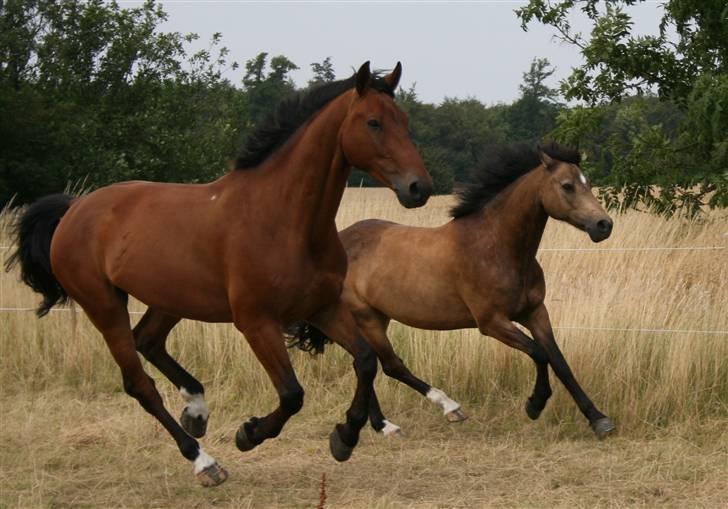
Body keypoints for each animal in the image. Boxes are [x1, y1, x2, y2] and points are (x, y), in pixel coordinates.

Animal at [5, 61, 432, 486]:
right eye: (374, 122)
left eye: (405, 121)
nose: (419, 188)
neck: (284, 219)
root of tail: (74, 209)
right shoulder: (256, 321)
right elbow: (292, 394)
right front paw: (250, 433)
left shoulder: (321, 307)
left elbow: (366, 361)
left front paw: (345, 436)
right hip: (103, 304)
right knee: (139, 383)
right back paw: (203, 460)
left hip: (170, 298)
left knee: (148, 340)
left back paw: (196, 409)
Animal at [290, 142, 616, 436]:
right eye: (567, 186)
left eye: (588, 184)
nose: (604, 225)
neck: (497, 247)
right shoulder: (492, 322)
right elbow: (539, 353)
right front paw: (535, 404)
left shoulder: (535, 312)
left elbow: (559, 360)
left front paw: (599, 420)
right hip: (363, 317)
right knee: (390, 365)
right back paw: (442, 410)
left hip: (374, 317)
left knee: (364, 362)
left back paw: (383, 424)